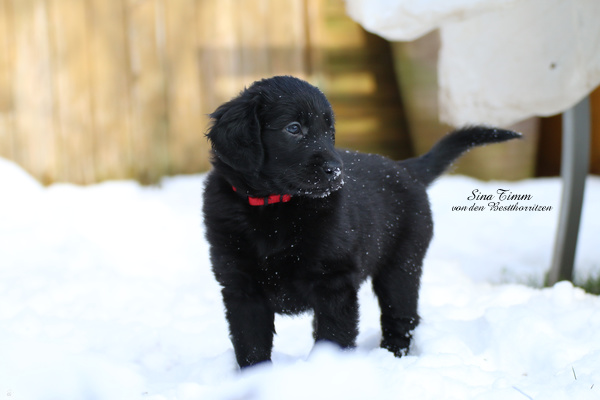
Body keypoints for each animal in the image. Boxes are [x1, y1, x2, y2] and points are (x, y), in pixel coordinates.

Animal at [202, 75, 520, 368]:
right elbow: (251, 346)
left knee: (401, 317)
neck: (276, 208)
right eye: (293, 128)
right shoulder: (241, 289)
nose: (336, 171)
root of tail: (404, 168)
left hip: (402, 265)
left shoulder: (335, 283)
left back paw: (393, 358)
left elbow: (334, 337)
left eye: (329, 132)